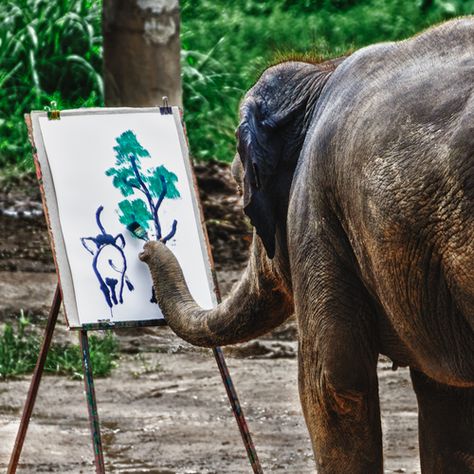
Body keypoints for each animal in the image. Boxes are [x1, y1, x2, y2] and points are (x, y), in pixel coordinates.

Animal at [140, 16, 474, 472]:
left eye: (244, 200)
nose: (145, 245)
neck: (321, 73)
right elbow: (448, 398)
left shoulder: (316, 212)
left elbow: (333, 383)